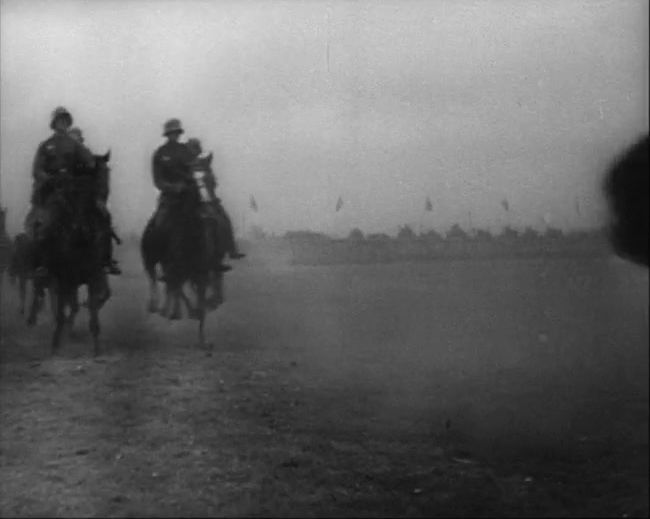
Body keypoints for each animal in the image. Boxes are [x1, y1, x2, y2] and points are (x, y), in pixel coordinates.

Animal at [41, 152, 111, 356]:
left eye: (108, 173)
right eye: (75, 192)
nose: (102, 203)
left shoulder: (95, 274)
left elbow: (95, 304)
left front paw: (96, 347)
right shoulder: (63, 277)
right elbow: (62, 310)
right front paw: (55, 344)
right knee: (63, 304)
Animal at [140, 154, 227, 348]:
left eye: (213, 180)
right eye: (191, 182)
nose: (208, 212)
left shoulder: (201, 273)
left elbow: (198, 301)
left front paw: (203, 340)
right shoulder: (176, 269)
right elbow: (178, 288)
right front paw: (180, 312)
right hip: (151, 260)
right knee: (154, 279)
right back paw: (157, 306)